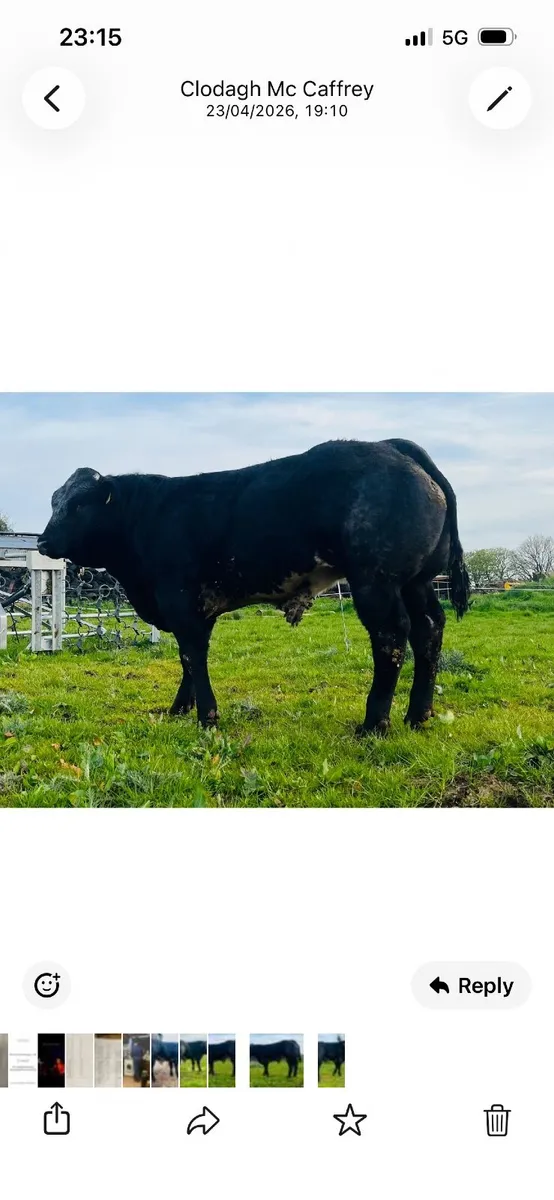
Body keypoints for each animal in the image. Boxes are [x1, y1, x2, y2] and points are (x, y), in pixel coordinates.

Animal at [37, 439, 470, 735]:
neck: (146, 517)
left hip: (376, 584)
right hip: (416, 584)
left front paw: (207, 717)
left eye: (79, 505)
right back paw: (418, 715)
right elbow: (187, 660)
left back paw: (374, 724)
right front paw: (180, 709)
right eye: (54, 502)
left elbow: (193, 656)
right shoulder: (197, 608)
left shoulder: (181, 601)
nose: (43, 542)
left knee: (392, 637)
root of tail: (391, 446)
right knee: (429, 630)